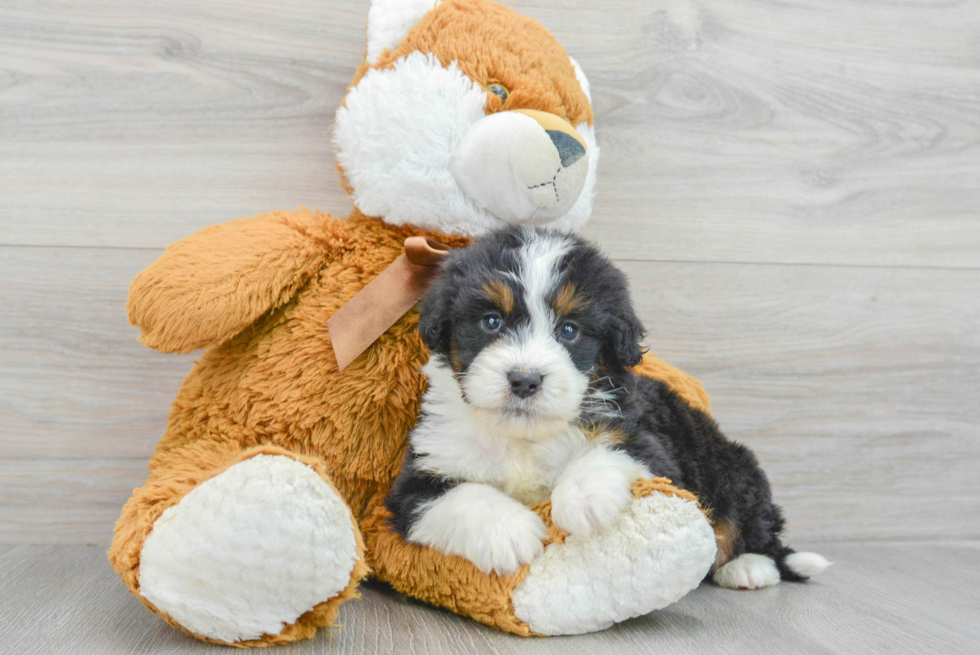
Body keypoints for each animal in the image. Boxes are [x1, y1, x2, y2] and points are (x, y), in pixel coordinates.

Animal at [384, 227, 828, 588]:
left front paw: (585, 499)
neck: (525, 436)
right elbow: (462, 495)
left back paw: (750, 566)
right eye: (491, 322)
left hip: (732, 468)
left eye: (569, 330)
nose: (525, 380)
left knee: (752, 525)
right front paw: (508, 532)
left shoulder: (648, 441)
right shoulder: (420, 475)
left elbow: (610, 450)